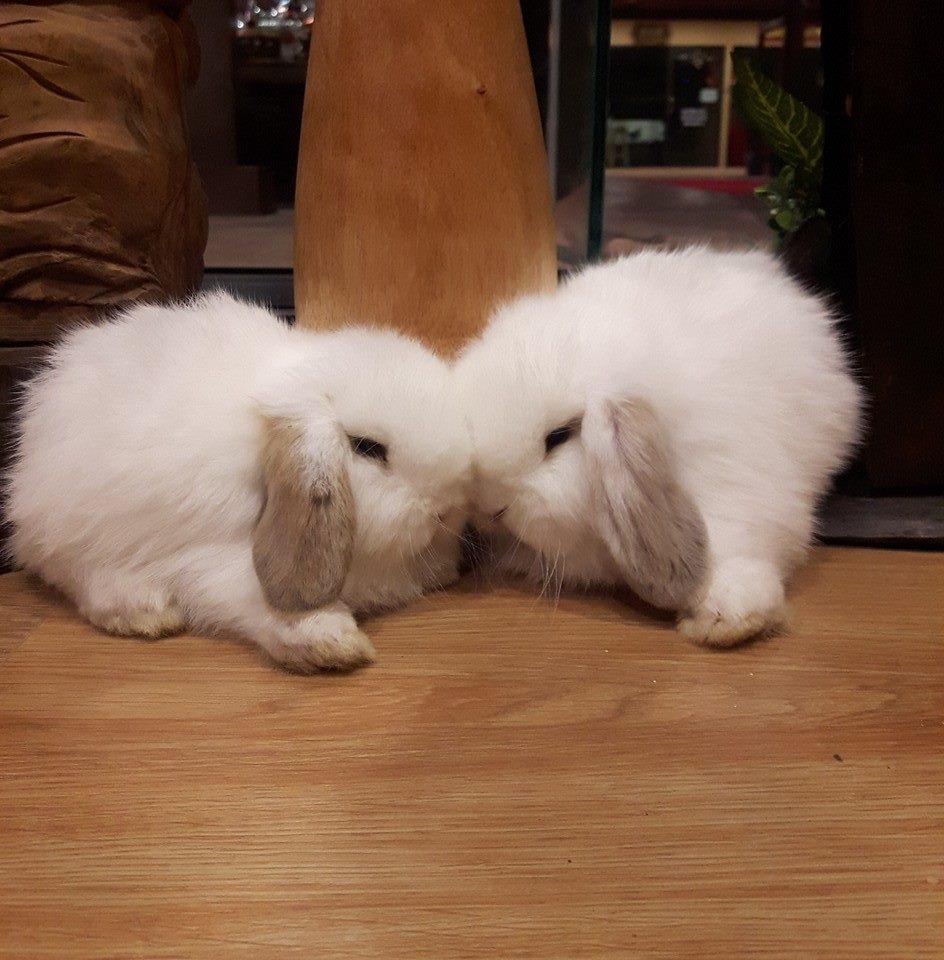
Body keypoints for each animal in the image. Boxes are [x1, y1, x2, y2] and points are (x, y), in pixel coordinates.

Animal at [6, 292, 472, 671]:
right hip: (73, 527)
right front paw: (332, 642)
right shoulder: (213, 565)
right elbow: (254, 602)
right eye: (367, 447)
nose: (443, 509)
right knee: (81, 577)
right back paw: (144, 611)